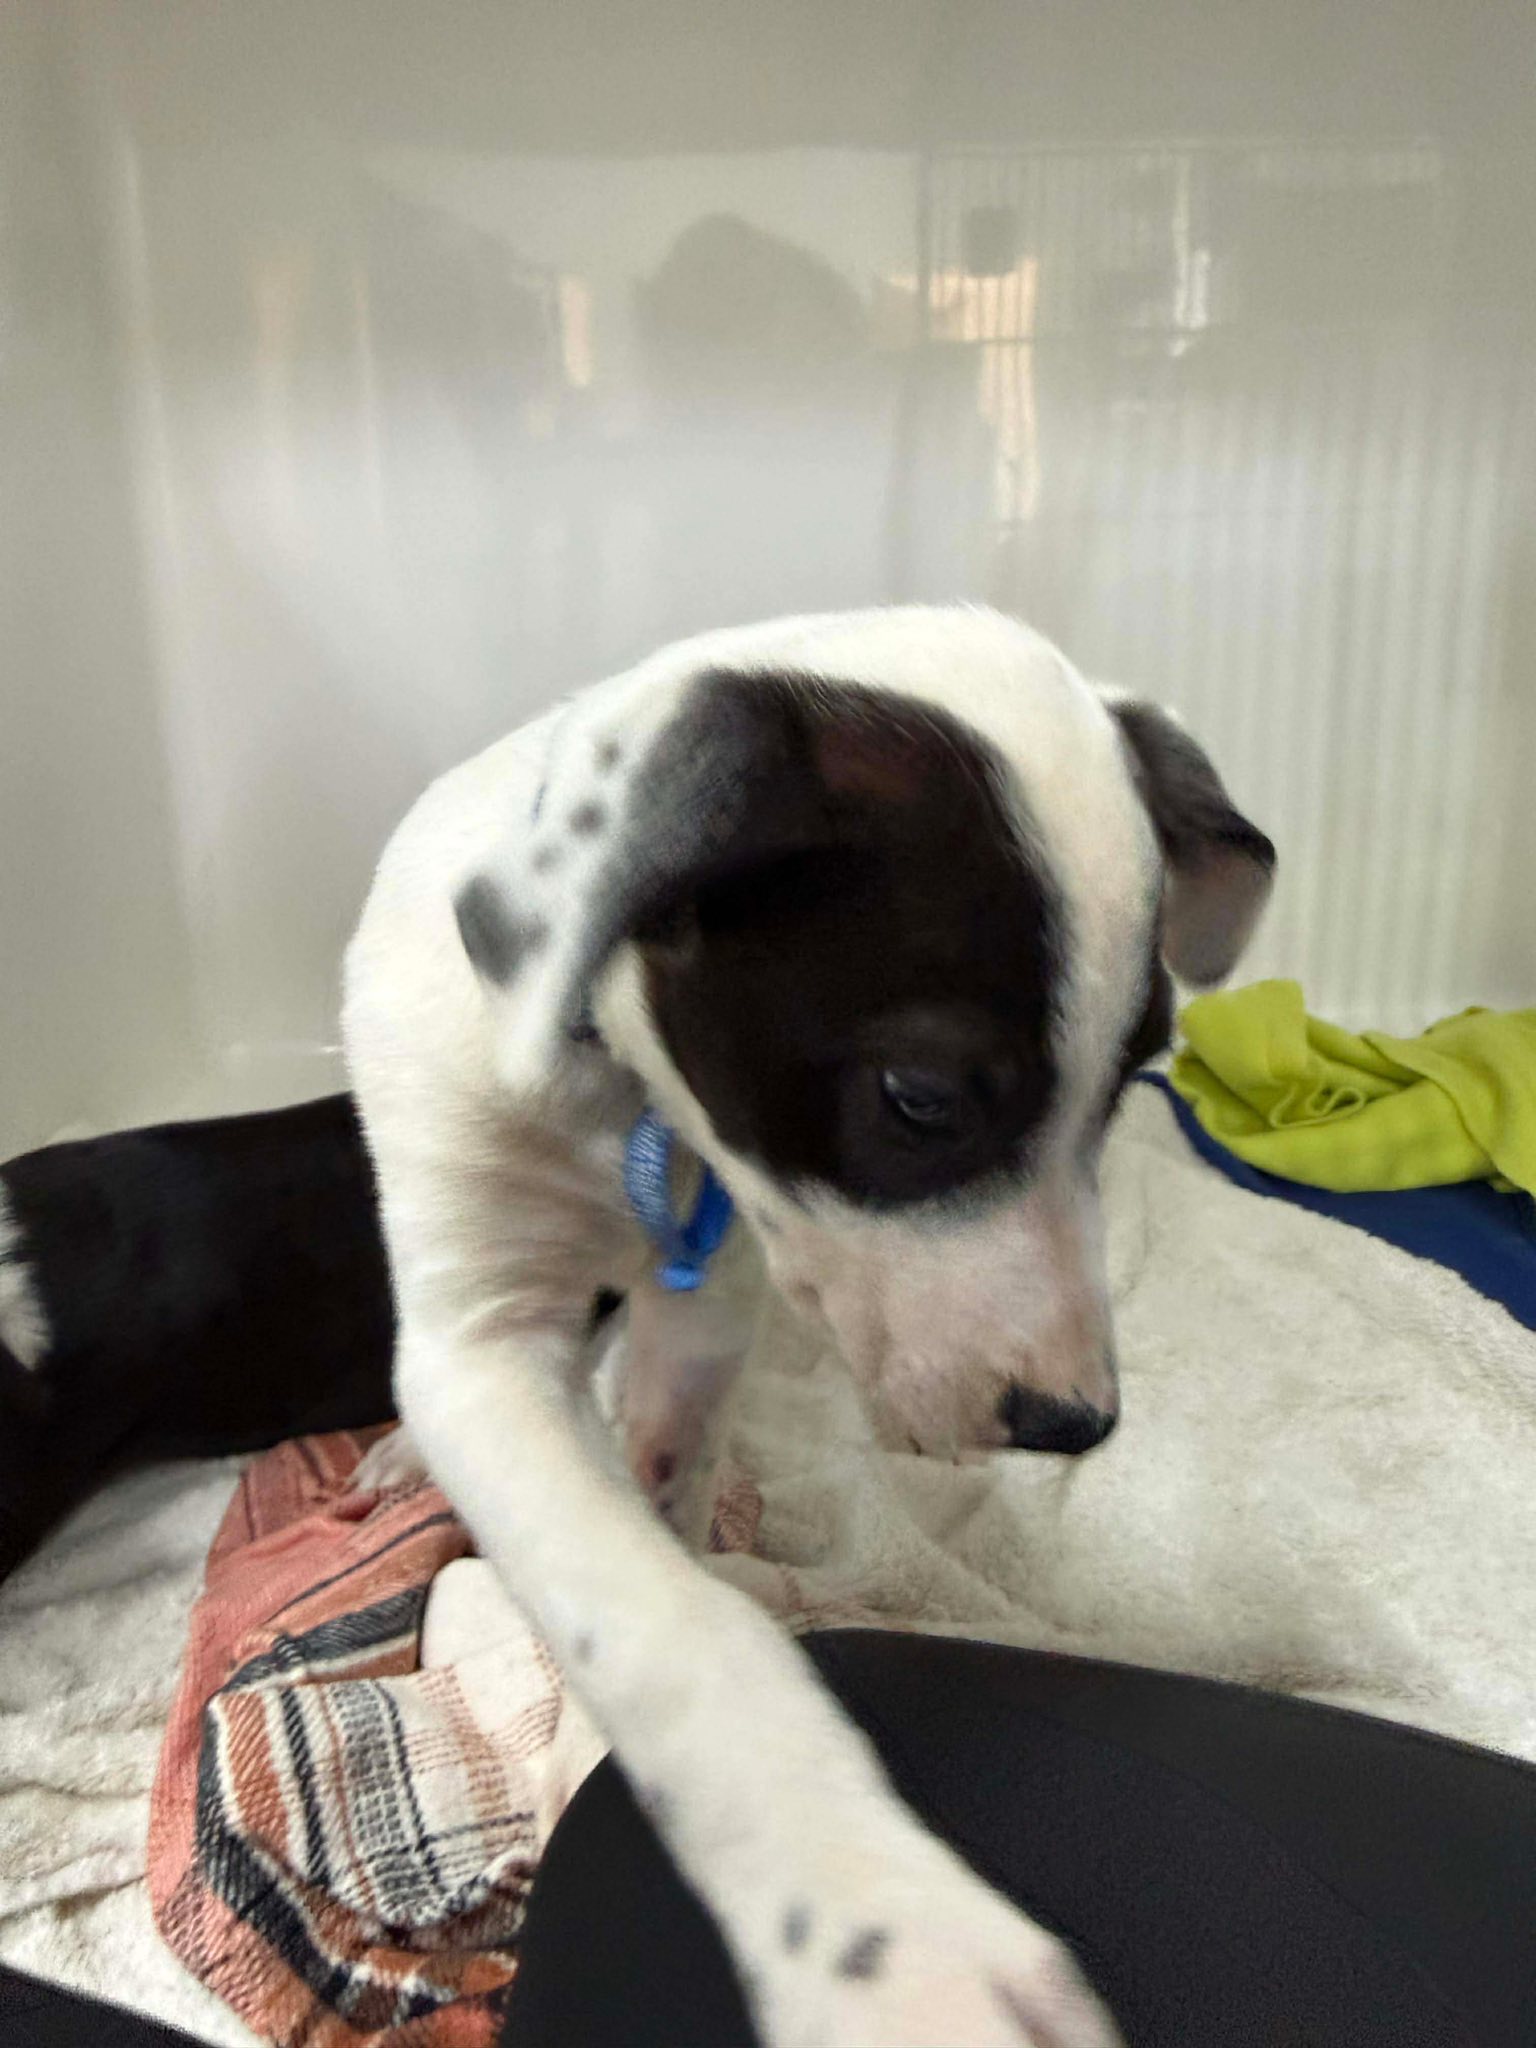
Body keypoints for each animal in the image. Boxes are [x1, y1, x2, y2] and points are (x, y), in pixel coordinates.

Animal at [342, 604, 1274, 2048]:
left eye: (1133, 1084)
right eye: (919, 1097)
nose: (1075, 1423)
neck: (622, 1104)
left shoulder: (709, 1296)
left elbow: (660, 1521)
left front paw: (586, 1754)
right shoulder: (477, 1335)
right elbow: (660, 1614)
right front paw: (878, 1931)